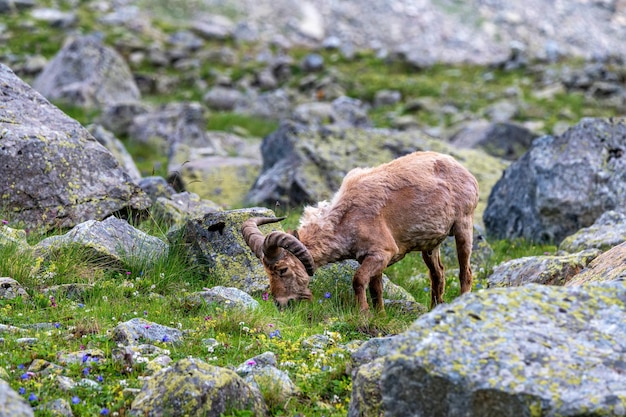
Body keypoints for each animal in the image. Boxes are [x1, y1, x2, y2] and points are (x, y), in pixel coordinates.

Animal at [239, 151, 478, 310]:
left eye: (283, 269)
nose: (280, 303)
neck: (347, 218)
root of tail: (462, 169)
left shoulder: (381, 252)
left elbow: (359, 280)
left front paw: (363, 314)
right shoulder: (373, 258)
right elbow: (376, 289)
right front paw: (379, 314)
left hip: (463, 225)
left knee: (465, 271)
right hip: (430, 244)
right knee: (438, 274)